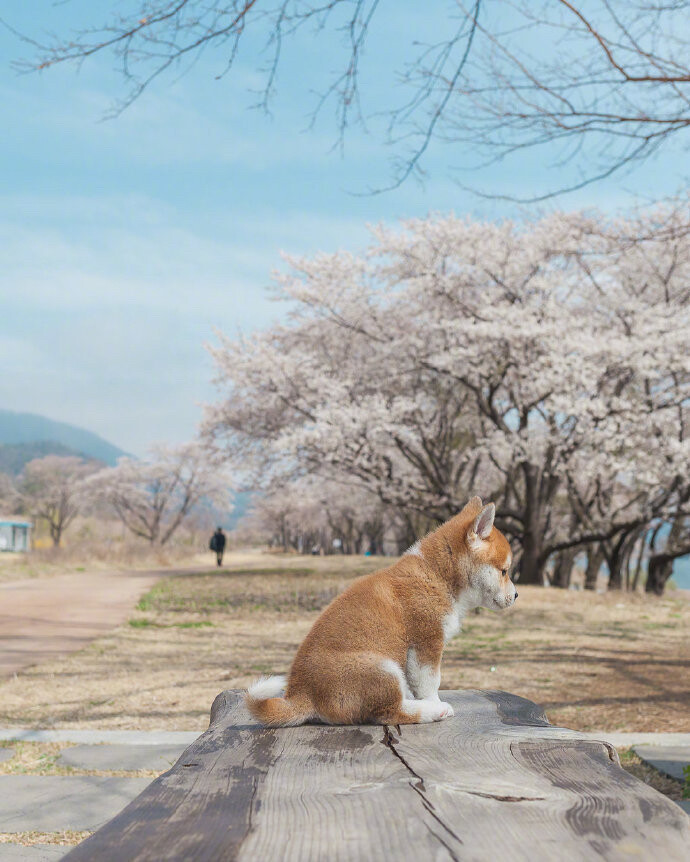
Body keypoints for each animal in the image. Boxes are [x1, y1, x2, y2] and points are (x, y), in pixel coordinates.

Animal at [245, 496, 512, 724]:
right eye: (505, 571)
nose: (517, 595)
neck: (437, 575)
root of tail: (302, 696)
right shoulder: (427, 643)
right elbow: (430, 683)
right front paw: (434, 701)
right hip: (382, 668)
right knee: (390, 712)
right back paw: (433, 711)